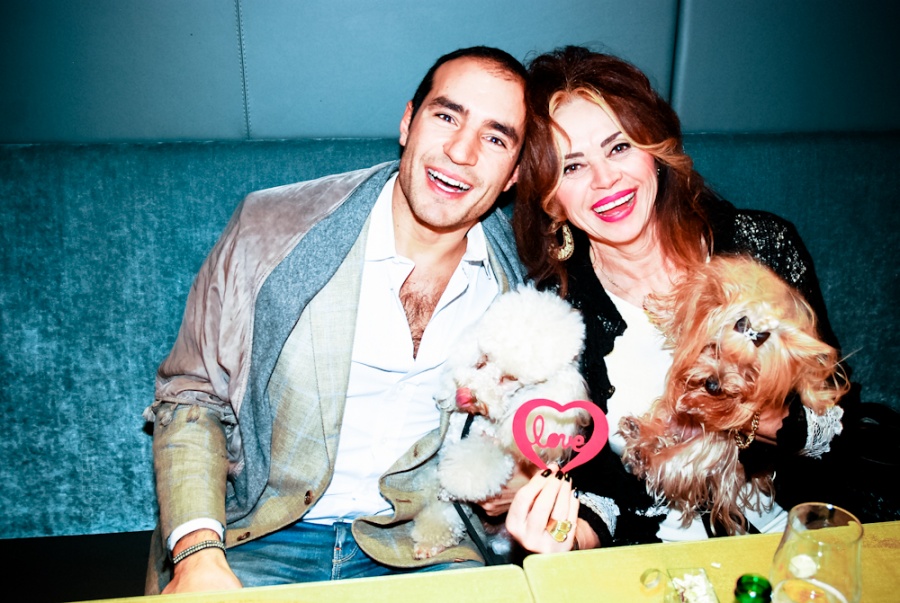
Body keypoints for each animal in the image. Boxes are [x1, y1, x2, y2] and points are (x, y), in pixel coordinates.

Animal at [410, 287, 591, 559]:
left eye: (511, 378)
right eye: (483, 358)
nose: (465, 394)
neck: (478, 421)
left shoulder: (498, 456)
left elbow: (468, 471)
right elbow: (446, 504)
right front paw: (430, 538)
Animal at [619, 255, 849, 535]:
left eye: (749, 370)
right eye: (714, 348)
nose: (713, 385)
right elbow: (684, 311)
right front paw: (663, 309)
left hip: (710, 450)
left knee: (671, 464)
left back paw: (646, 457)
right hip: (673, 420)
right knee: (662, 430)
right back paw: (638, 433)